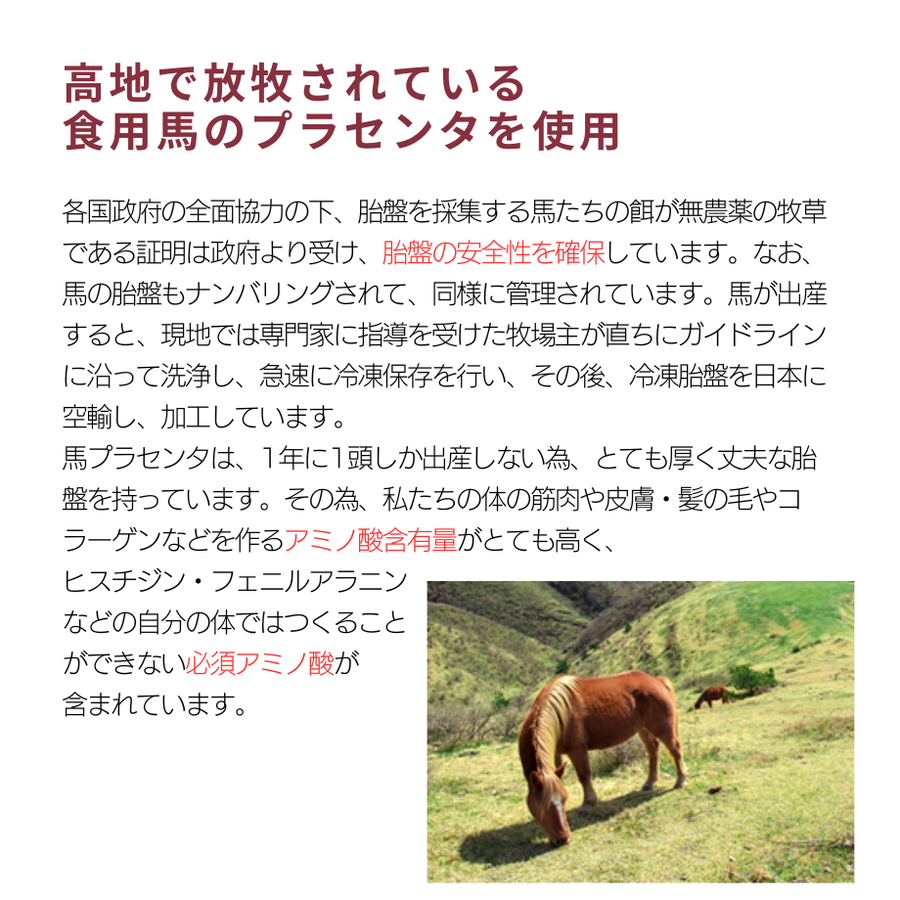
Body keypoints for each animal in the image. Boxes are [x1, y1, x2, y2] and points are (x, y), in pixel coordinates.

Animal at [518, 671, 687, 846]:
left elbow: (584, 775)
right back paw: (649, 782)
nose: (564, 839)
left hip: (662, 728)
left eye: (562, 801)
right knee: (653, 749)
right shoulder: (556, 753)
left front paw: (588, 803)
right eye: (543, 807)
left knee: (675, 749)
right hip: (643, 728)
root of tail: (658, 681)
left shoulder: (577, 749)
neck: (561, 714)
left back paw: (681, 779)